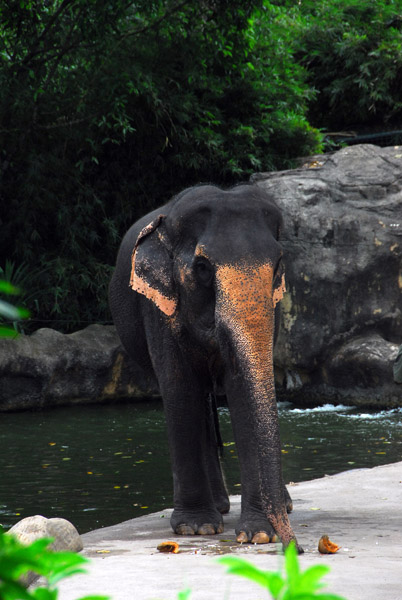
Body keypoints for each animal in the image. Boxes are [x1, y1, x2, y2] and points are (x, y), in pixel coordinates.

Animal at [108, 183, 300, 548]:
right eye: (201, 267)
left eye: (279, 263)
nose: (293, 545)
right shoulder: (159, 309)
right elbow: (180, 388)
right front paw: (194, 528)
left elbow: (242, 390)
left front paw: (258, 534)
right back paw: (218, 510)